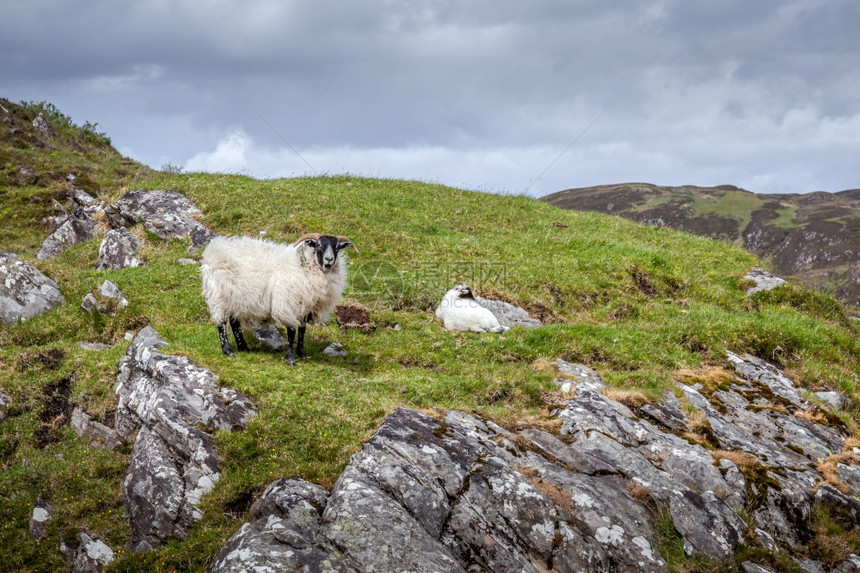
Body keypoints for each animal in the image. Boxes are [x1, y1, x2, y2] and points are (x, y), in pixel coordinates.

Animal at [201, 231, 356, 362]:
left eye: (337, 247)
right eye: (318, 245)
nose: (329, 260)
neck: (305, 266)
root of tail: (214, 249)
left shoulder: (305, 306)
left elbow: (302, 330)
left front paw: (301, 354)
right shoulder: (287, 303)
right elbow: (291, 332)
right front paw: (290, 358)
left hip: (236, 298)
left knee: (234, 323)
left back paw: (243, 347)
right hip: (218, 295)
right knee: (221, 324)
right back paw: (227, 351)